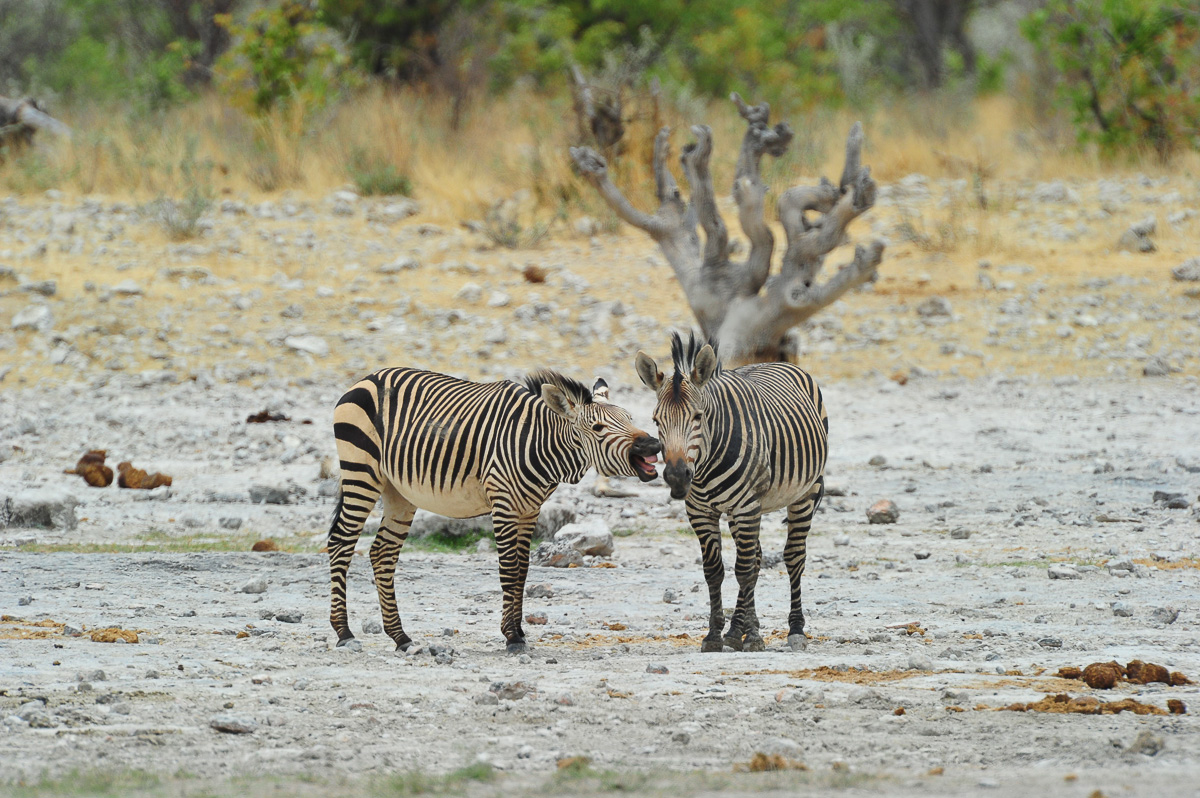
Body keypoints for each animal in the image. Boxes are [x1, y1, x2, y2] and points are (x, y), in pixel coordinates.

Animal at [328, 366, 661, 654]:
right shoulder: (503, 504)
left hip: (399, 492)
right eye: (598, 428)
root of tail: (367, 378)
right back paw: (344, 632)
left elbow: (523, 571)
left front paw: (519, 630)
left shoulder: (530, 510)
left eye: (630, 417)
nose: (654, 445)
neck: (540, 444)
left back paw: (400, 637)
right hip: (361, 472)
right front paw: (511, 637)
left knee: (382, 553)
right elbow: (509, 569)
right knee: (341, 543)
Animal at [634, 332, 827, 653]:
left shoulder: (746, 506)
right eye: (656, 421)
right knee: (757, 557)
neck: (705, 463)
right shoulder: (700, 512)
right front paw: (715, 634)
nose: (676, 477)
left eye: (698, 416)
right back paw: (743, 628)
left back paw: (795, 629)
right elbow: (715, 571)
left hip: (805, 493)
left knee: (793, 557)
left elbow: (743, 571)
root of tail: (776, 361)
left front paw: (750, 638)